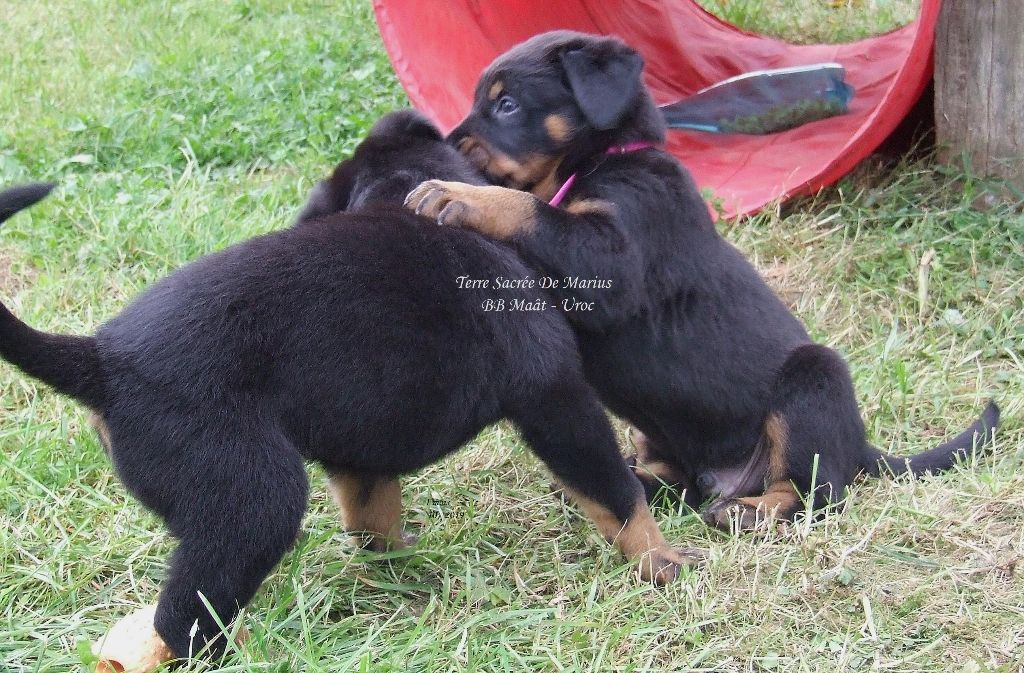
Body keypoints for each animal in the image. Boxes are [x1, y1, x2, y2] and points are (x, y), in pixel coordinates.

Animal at [2, 110, 688, 667]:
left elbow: (370, 510)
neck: (401, 195)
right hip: (253, 495)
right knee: (186, 614)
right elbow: (615, 491)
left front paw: (395, 561)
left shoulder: (361, 438)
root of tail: (104, 360)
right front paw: (662, 562)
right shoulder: (555, 396)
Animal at [405, 32, 999, 528]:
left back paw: (747, 511)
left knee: (816, 493)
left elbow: (528, 209)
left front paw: (456, 195)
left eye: (507, 105)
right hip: (659, 434)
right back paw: (642, 481)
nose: (447, 144)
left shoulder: (611, 260)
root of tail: (860, 447)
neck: (605, 160)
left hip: (813, 381)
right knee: (683, 480)